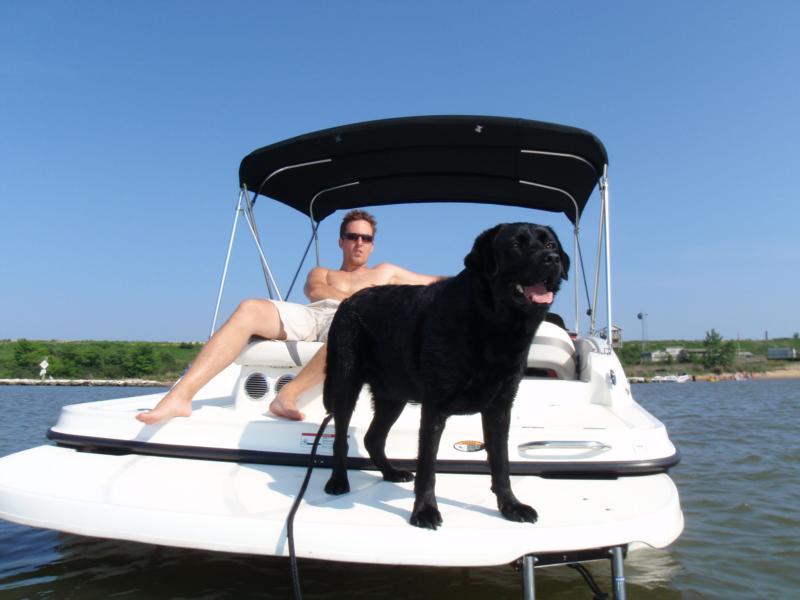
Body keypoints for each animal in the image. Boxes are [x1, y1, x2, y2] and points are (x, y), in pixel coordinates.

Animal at [320, 223, 568, 528]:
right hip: (345, 383)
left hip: (393, 396)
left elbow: (501, 463)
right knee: (341, 439)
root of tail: (347, 301)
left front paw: (510, 506)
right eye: (515, 245)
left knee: (372, 438)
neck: (492, 325)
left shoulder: (500, 408)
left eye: (551, 244)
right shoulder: (434, 408)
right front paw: (424, 511)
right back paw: (338, 481)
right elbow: (428, 466)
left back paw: (391, 472)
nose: (552, 259)